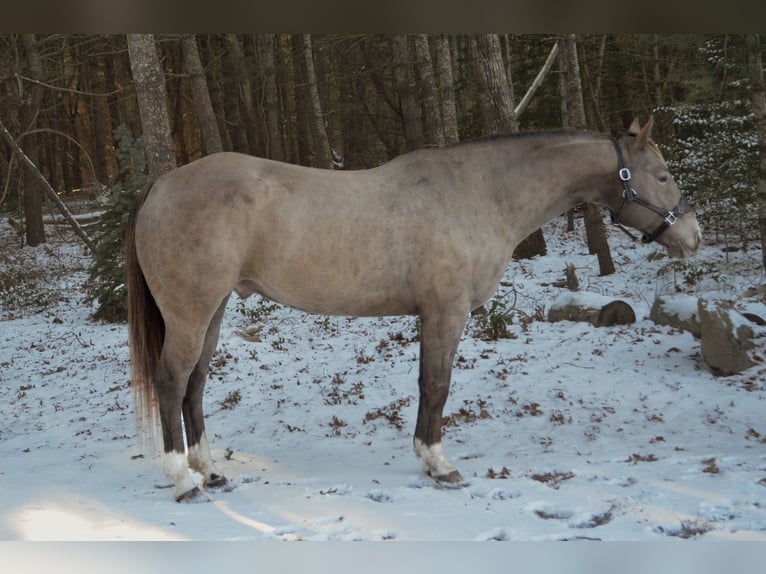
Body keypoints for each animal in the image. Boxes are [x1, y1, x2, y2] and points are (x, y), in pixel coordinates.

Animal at [126, 118, 701, 502]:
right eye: (663, 175)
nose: (694, 236)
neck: (479, 192)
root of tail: (161, 184)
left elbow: (429, 385)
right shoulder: (446, 311)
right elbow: (436, 385)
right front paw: (439, 465)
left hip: (215, 309)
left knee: (196, 384)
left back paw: (209, 470)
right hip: (191, 313)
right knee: (172, 382)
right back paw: (182, 478)